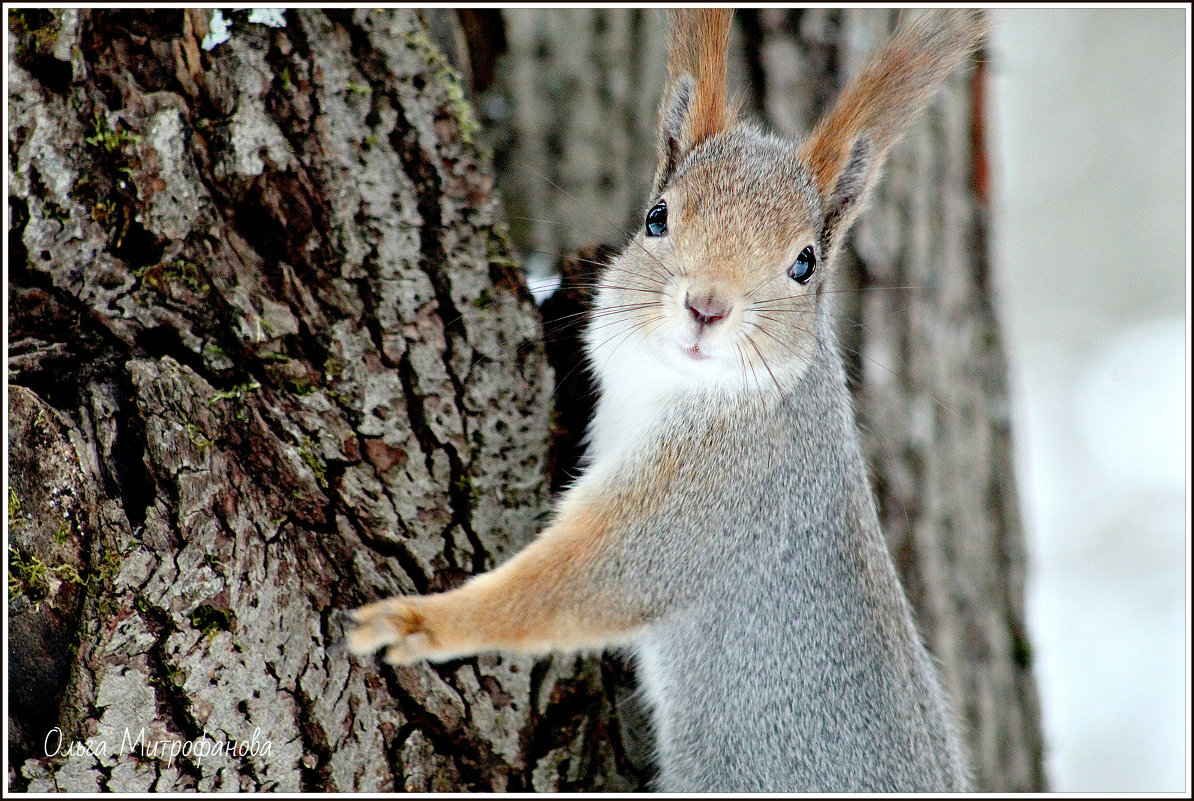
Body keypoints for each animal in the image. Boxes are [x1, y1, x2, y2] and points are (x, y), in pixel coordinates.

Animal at [348, 7, 983, 797]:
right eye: (656, 218)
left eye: (805, 263)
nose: (706, 306)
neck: (673, 387)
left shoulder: (710, 500)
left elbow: (581, 583)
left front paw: (419, 623)